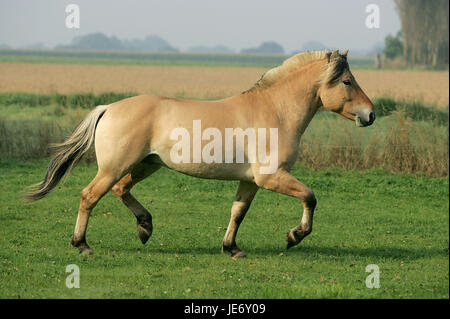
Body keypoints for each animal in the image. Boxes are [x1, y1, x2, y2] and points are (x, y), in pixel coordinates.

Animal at [25, 50, 376, 260]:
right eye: (347, 81)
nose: (370, 115)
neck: (275, 112)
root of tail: (109, 107)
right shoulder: (271, 177)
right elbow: (310, 197)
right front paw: (294, 236)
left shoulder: (251, 181)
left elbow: (238, 213)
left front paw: (231, 248)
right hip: (116, 166)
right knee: (89, 196)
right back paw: (82, 244)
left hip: (145, 165)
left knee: (120, 190)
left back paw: (145, 228)